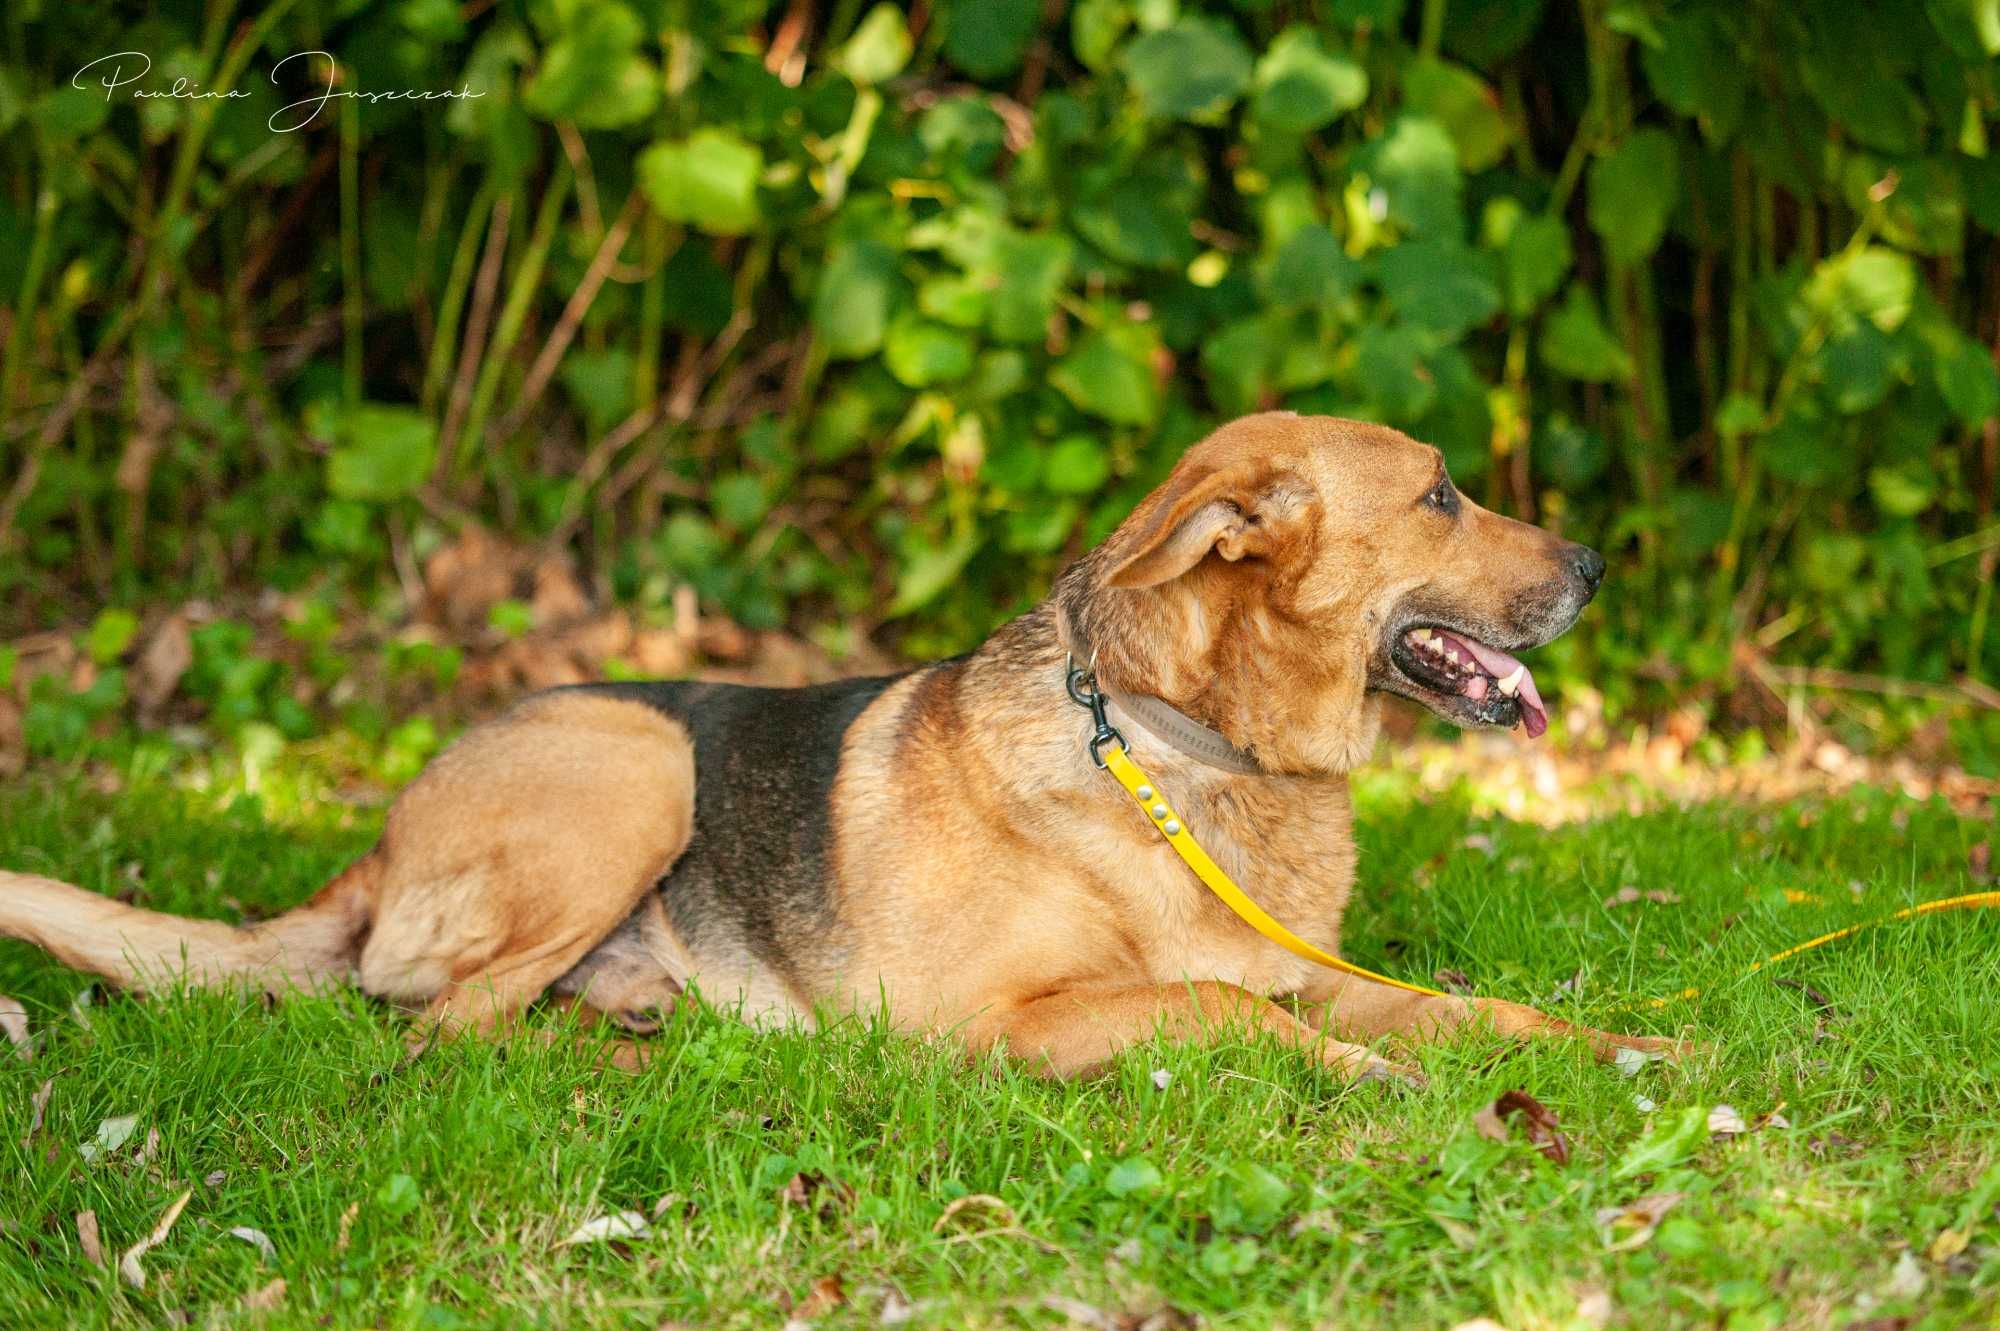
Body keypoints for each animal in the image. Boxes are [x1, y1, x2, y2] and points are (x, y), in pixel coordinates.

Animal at [0, 415, 1680, 1079]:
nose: (1602, 561)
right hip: (637, 760)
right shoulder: (996, 1022)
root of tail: (380, 842)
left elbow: (1467, 1009)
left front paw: (1620, 1049)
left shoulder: (1310, 964)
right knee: (438, 1025)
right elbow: (1228, 1011)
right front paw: (1359, 1077)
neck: (1184, 749)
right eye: (1445, 492)